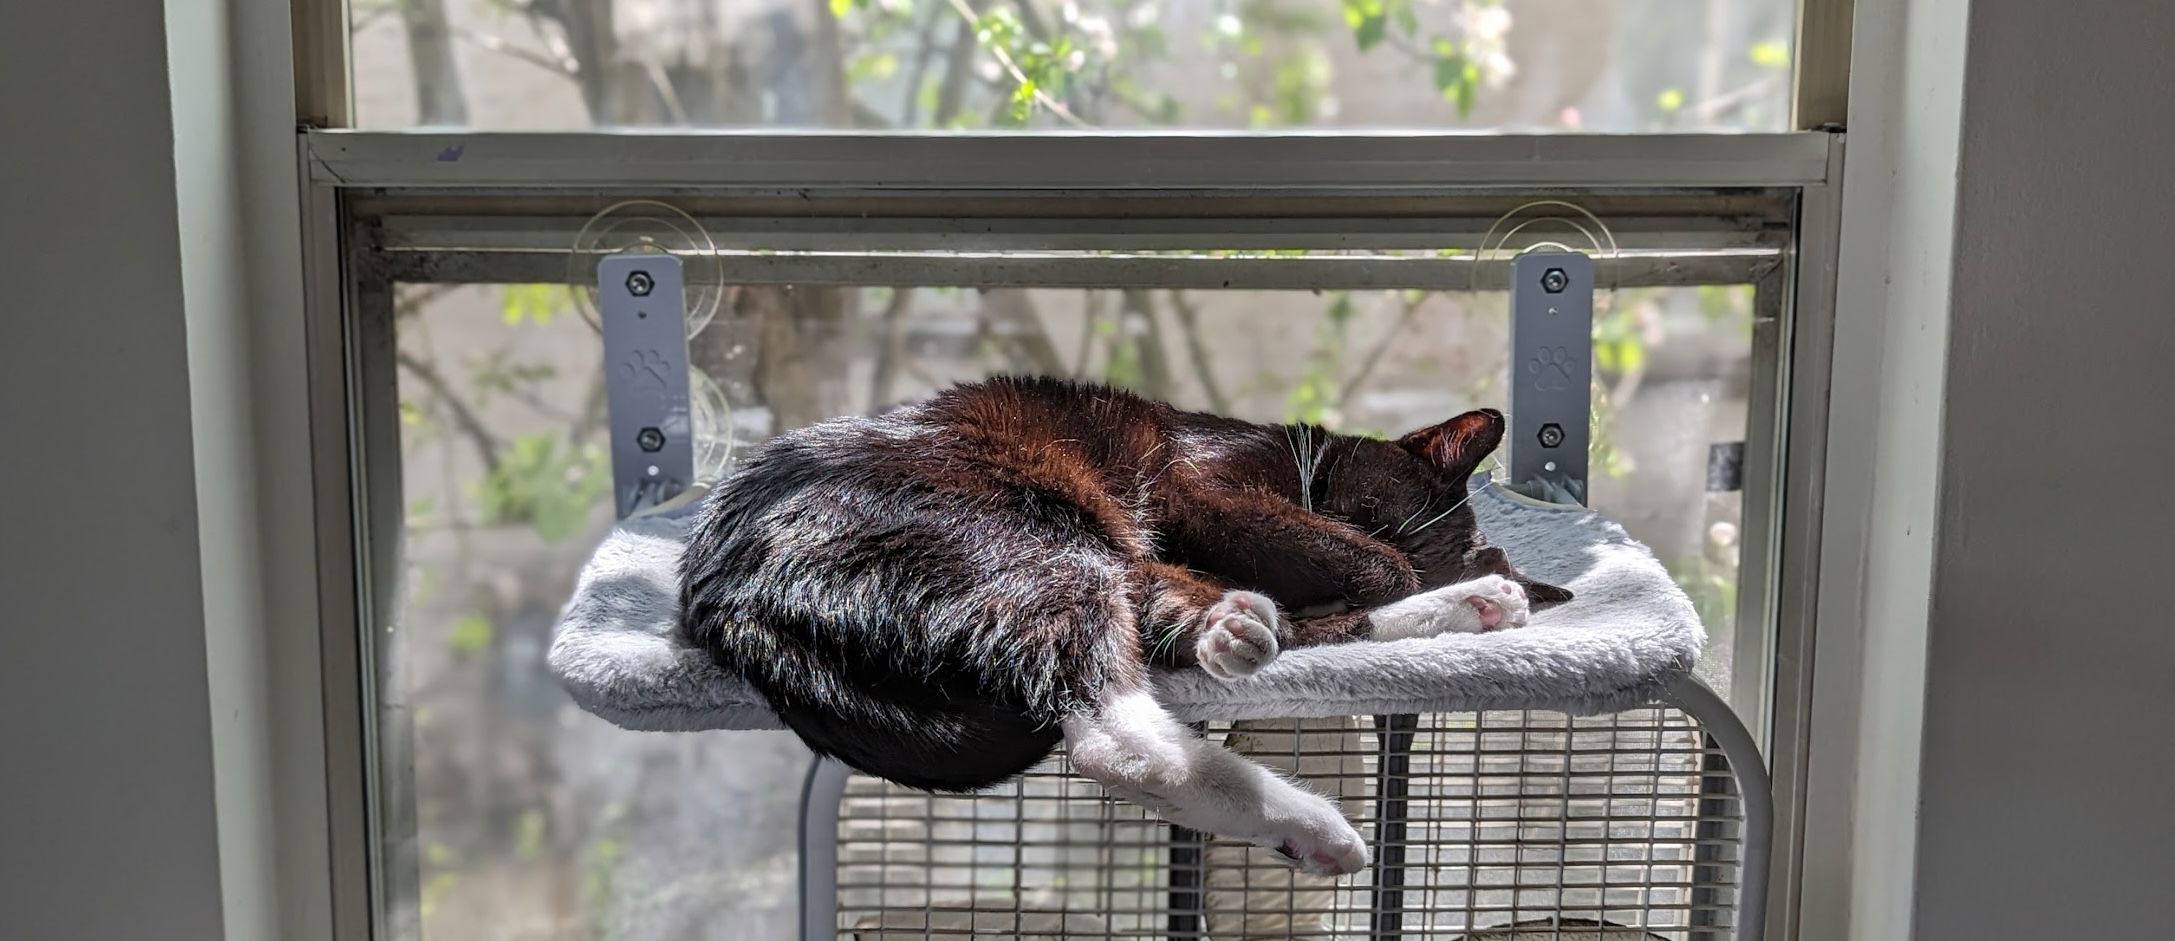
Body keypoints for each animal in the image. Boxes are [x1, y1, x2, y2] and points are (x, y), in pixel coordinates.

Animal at [678, 373, 1566, 873]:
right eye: (1375, 514)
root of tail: (726, 591)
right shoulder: (1195, 485)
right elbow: (1367, 570)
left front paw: (1454, 596)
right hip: (1033, 536)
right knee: (1116, 737)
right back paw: (1312, 812)